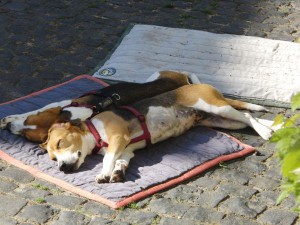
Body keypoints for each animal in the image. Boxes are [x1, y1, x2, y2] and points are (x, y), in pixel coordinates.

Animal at [0, 71, 199, 142]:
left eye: (26, 136)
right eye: (28, 120)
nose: (9, 127)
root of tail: (184, 78)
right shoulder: (59, 104)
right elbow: (36, 108)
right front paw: (9, 118)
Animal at [39, 83, 276, 184]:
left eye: (60, 143)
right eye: (52, 158)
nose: (62, 168)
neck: (94, 131)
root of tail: (202, 84)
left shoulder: (118, 138)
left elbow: (107, 159)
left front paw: (104, 173)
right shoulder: (126, 150)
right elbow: (121, 161)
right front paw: (118, 172)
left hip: (216, 107)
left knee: (247, 116)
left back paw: (265, 132)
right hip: (222, 120)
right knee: (246, 117)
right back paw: (268, 126)